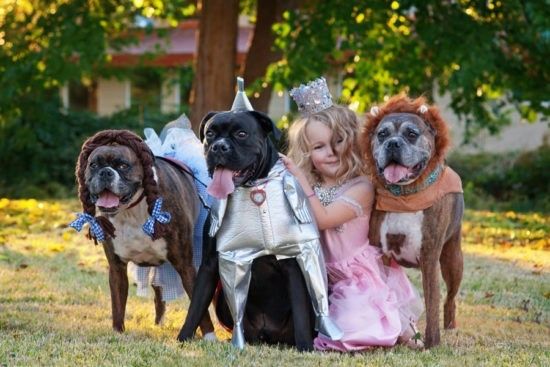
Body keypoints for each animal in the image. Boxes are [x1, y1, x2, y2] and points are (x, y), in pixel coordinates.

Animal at [73, 130, 218, 342]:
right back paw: (159, 322)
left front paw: (209, 336)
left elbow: (198, 305)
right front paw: (118, 332)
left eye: (123, 165)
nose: (105, 172)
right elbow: (118, 304)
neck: (131, 210)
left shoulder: (186, 266)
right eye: (94, 165)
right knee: (159, 293)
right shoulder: (117, 268)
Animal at [177, 110, 314, 352]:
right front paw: (183, 339)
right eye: (210, 134)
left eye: (241, 134)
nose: (219, 147)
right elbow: (195, 307)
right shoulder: (210, 263)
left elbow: (300, 313)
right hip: (222, 300)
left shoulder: (292, 262)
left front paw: (306, 347)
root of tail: (266, 334)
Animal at [362, 94, 466, 348]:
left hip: (453, 261)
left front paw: (432, 342)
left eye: (411, 134)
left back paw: (450, 325)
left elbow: (432, 303)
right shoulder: (382, 254)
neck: (406, 196)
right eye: (382, 134)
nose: (393, 144)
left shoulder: (429, 258)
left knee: (450, 298)